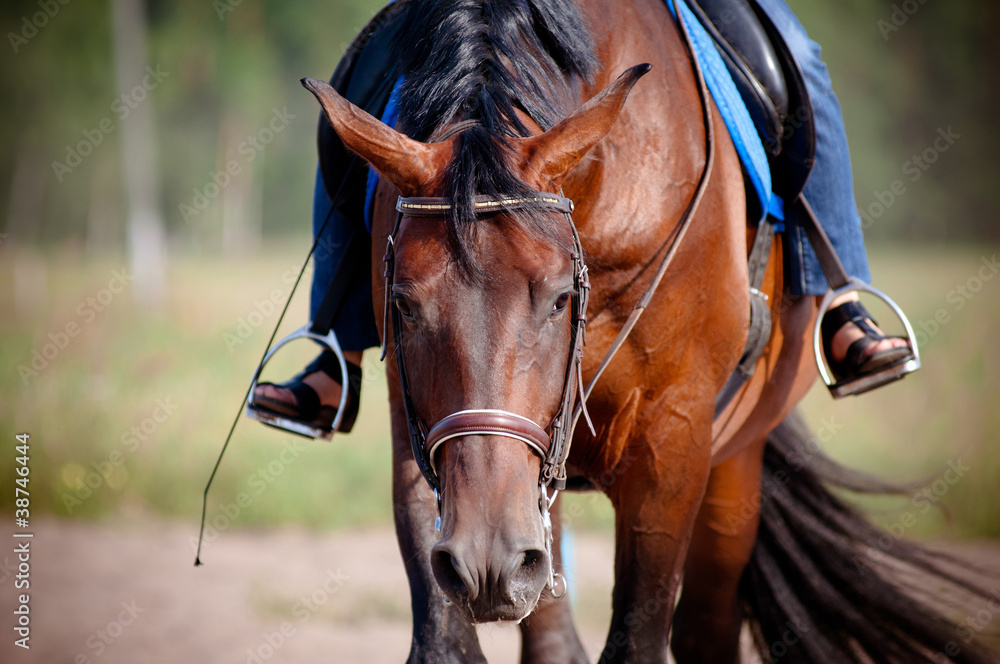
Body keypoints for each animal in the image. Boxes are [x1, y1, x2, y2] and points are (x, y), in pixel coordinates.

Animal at [302, 0, 999, 662]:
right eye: (404, 304)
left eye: (561, 298)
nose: (484, 558)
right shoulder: (426, 439)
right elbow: (444, 639)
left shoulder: (674, 441)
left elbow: (638, 639)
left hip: (729, 467)